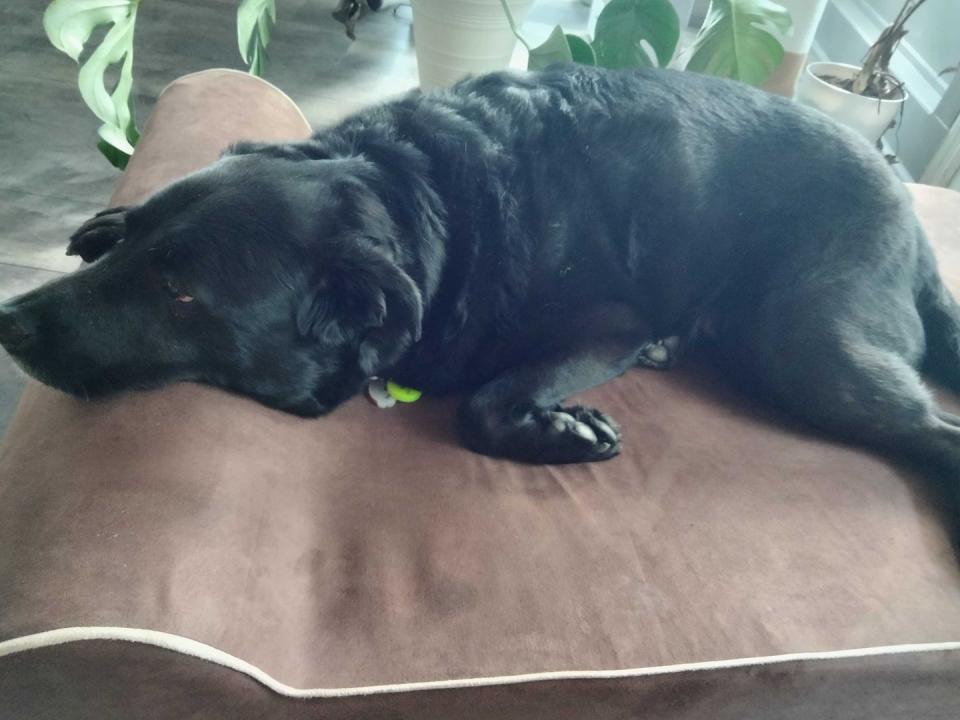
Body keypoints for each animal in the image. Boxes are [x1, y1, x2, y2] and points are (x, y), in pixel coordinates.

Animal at [1, 67, 960, 484]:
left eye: (180, 293)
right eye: (138, 249)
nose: (7, 321)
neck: (408, 197)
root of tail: (914, 226)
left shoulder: (605, 322)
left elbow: (486, 402)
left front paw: (557, 433)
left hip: (810, 342)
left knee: (930, 431)